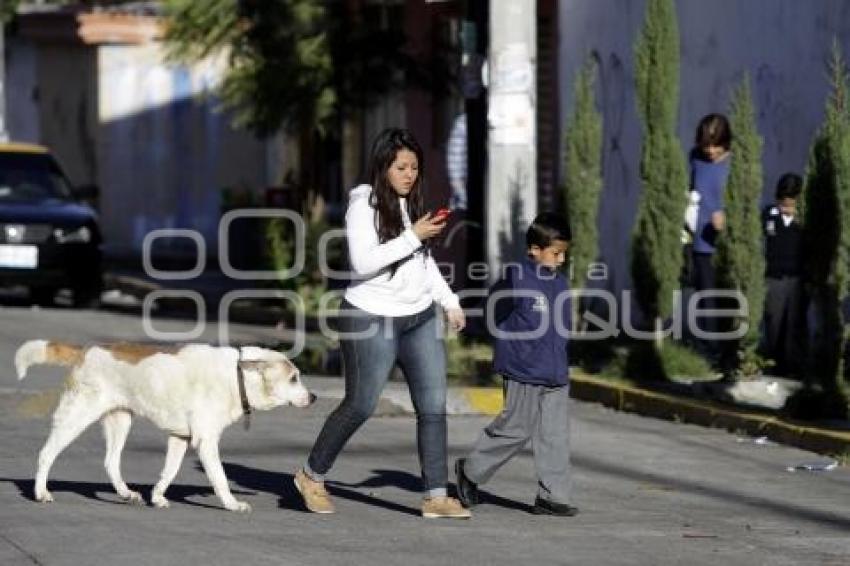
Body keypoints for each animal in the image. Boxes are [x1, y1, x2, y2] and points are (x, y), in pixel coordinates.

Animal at [14, 342, 314, 516]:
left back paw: (125, 493)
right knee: (46, 454)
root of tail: (85, 353)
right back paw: (41, 493)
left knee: (111, 462)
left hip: (120, 421)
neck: (237, 376)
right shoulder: (206, 442)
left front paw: (157, 497)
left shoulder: (180, 438)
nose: (313, 398)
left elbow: (169, 472)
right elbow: (220, 477)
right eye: (294, 378)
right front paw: (232, 504)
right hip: (76, 417)